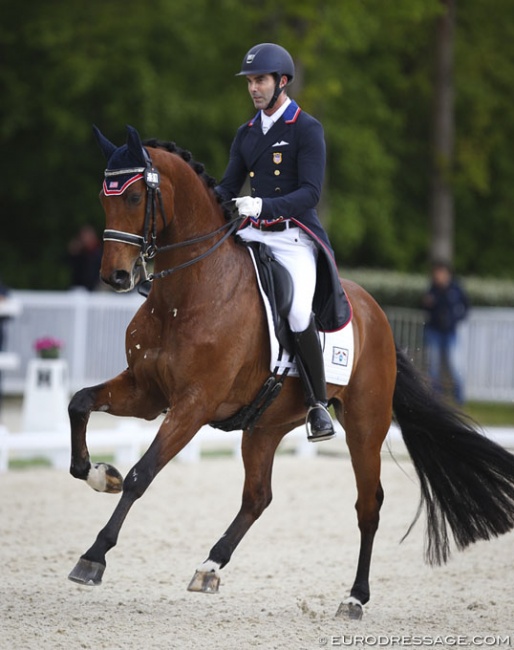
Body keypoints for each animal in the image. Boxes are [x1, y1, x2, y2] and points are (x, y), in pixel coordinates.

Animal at [67, 126, 512, 616]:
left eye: (132, 197)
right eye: (104, 197)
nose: (115, 277)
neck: (188, 293)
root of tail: (376, 314)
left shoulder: (192, 405)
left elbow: (141, 474)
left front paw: (93, 556)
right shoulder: (147, 392)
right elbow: (80, 403)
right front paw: (97, 472)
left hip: (364, 425)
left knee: (368, 505)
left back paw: (354, 597)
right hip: (266, 426)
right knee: (258, 497)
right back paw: (209, 567)